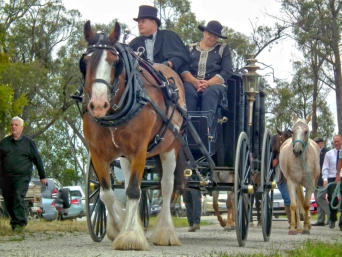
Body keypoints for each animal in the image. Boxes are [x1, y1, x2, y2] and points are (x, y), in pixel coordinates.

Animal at [82, 21, 184, 249]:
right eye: (85, 61)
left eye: (114, 62)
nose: (98, 105)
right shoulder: (97, 152)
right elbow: (106, 193)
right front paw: (117, 228)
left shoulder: (139, 150)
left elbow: (133, 191)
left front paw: (129, 236)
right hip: (124, 156)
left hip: (170, 148)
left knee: (166, 186)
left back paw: (165, 232)